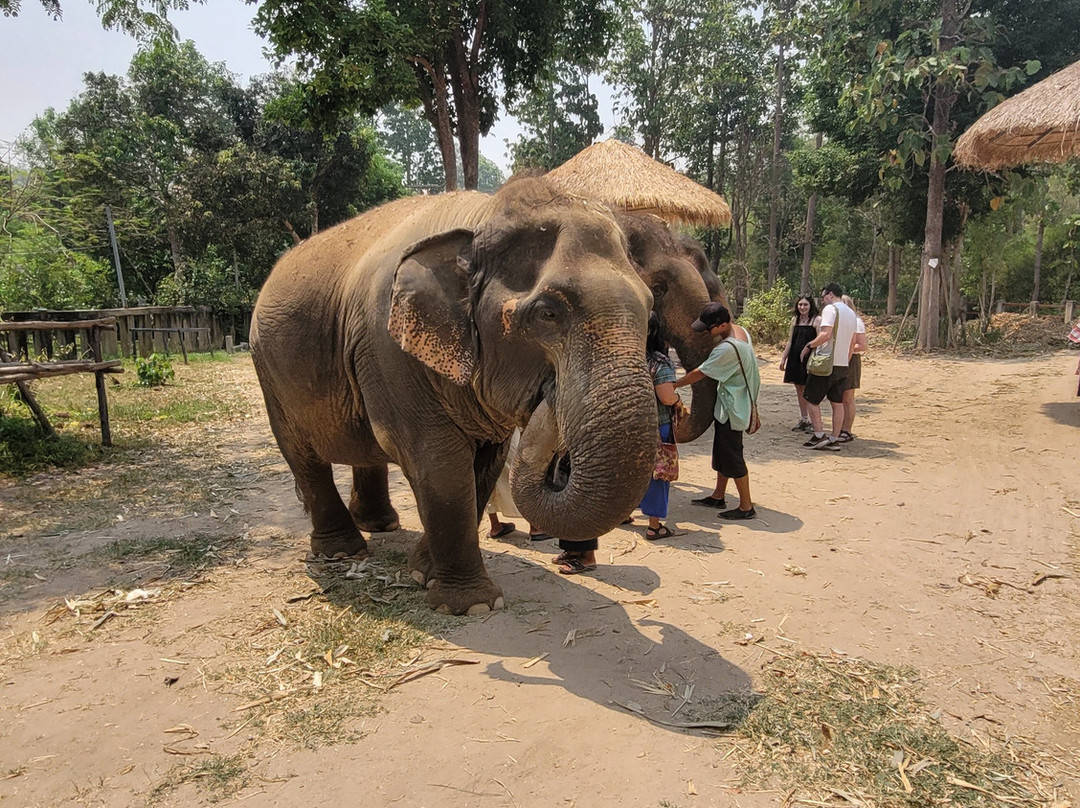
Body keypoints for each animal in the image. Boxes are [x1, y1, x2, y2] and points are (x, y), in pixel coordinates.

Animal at [250, 177, 658, 615]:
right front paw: (472, 606)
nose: (549, 398)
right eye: (548, 313)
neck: (482, 217)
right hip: (269, 371)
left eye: (650, 308)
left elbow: (487, 463)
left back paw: (380, 525)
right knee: (302, 455)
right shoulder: (387, 349)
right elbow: (437, 460)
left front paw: (422, 570)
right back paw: (342, 552)